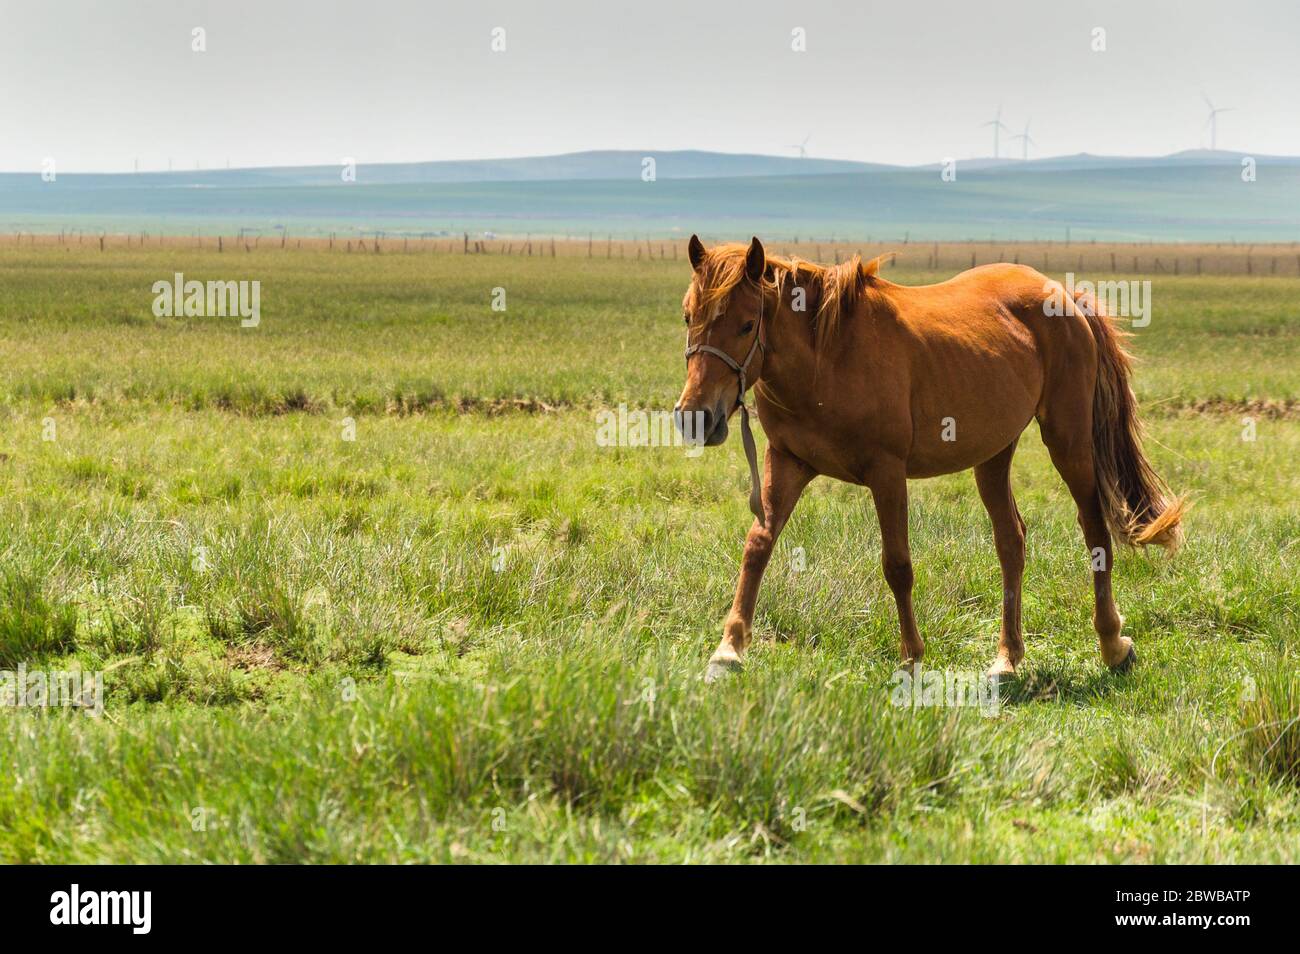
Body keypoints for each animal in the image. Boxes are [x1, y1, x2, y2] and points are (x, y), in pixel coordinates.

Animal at [674, 235, 1185, 683]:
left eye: (746, 324)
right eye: (688, 316)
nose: (695, 417)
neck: (827, 358)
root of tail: (1065, 296)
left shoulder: (886, 472)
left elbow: (897, 566)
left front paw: (912, 658)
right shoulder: (787, 461)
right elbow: (758, 546)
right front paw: (728, 650)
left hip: (1069, 441)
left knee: (1094, 531)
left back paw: (1113, 645)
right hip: (993, 456)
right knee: (1011, 542)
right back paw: (1007, 659)